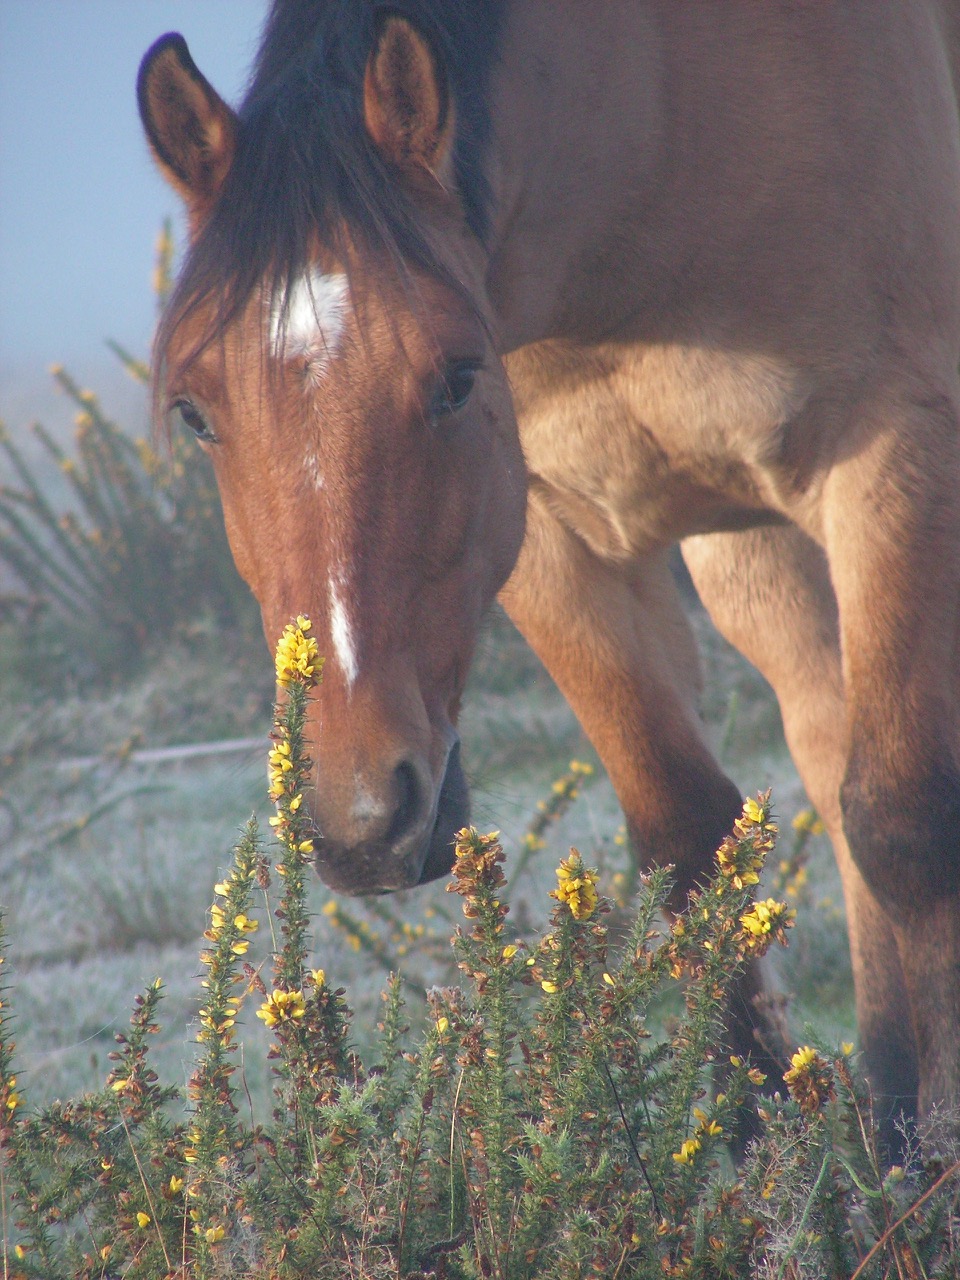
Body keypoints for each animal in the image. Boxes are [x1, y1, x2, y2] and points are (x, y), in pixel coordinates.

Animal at [138, 0, 960, 1141]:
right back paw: (879, 1112)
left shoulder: (896, 449)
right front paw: (745, 1154)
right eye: (193, 410)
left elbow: (907, 825)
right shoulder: (551, 544)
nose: (358, 818)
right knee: (821, 726)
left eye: (455, 379)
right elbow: (687, 843)